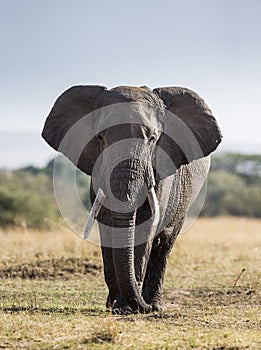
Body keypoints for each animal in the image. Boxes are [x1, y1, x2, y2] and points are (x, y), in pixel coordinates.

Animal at [42, 85, 221, 314]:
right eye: (100, 138)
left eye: (153, 138)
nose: (143, 307)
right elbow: (108, 225)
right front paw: (118, 308)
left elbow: (145, 228)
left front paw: (129, 308)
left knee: (165, 244)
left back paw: (154, 304)